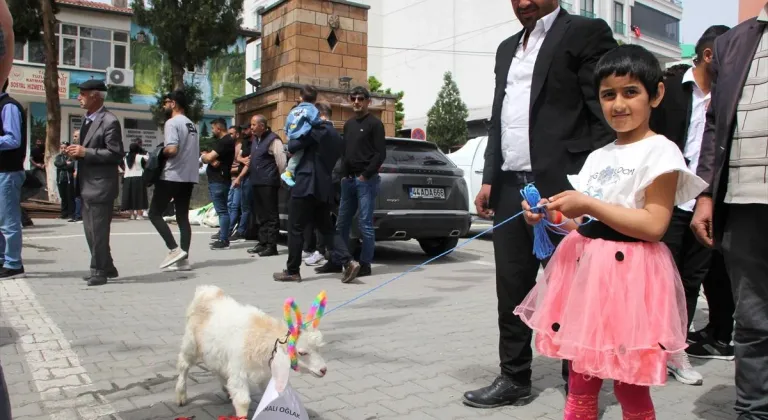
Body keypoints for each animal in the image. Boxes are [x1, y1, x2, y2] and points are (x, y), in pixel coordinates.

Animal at [175, 286, 328, 416]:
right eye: (302, 352)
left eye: (319, 348)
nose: (323, 370)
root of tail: (206, 291)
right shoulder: (238, 371)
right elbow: (243, 401)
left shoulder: (265, 373)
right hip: (191, 344)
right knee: (183, 365)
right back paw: (181, 396)